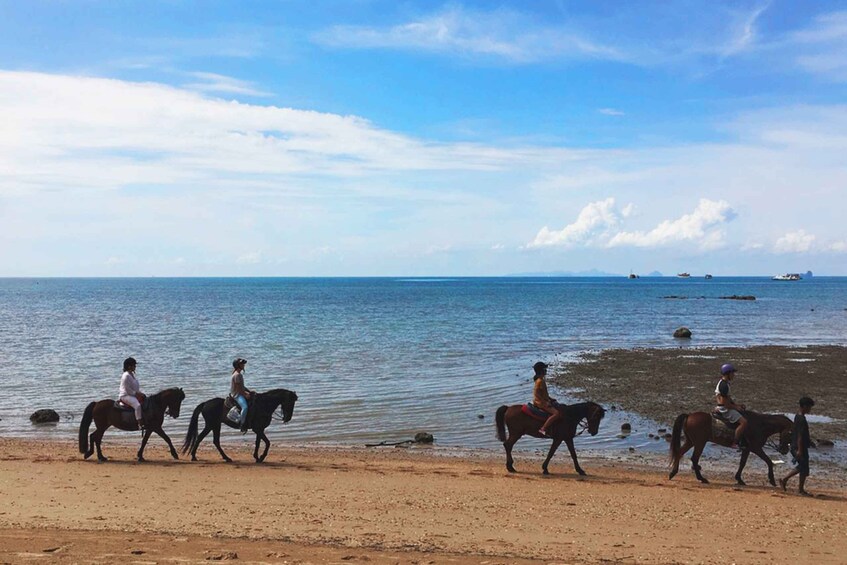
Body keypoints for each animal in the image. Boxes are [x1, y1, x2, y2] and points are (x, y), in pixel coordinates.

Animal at [668, 410, 796, 484]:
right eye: (791, 434)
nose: (785, 450)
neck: (761, 425)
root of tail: (689, 415)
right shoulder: (756, 448)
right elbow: (768, 461)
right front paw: (772, 480)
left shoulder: (747, 449)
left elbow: (742, 463)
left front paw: (739, 479)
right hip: (700, 443)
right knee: (694, 459)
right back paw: (701, 478)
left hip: (691, 441)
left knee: (679, 452)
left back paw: (673, 473)